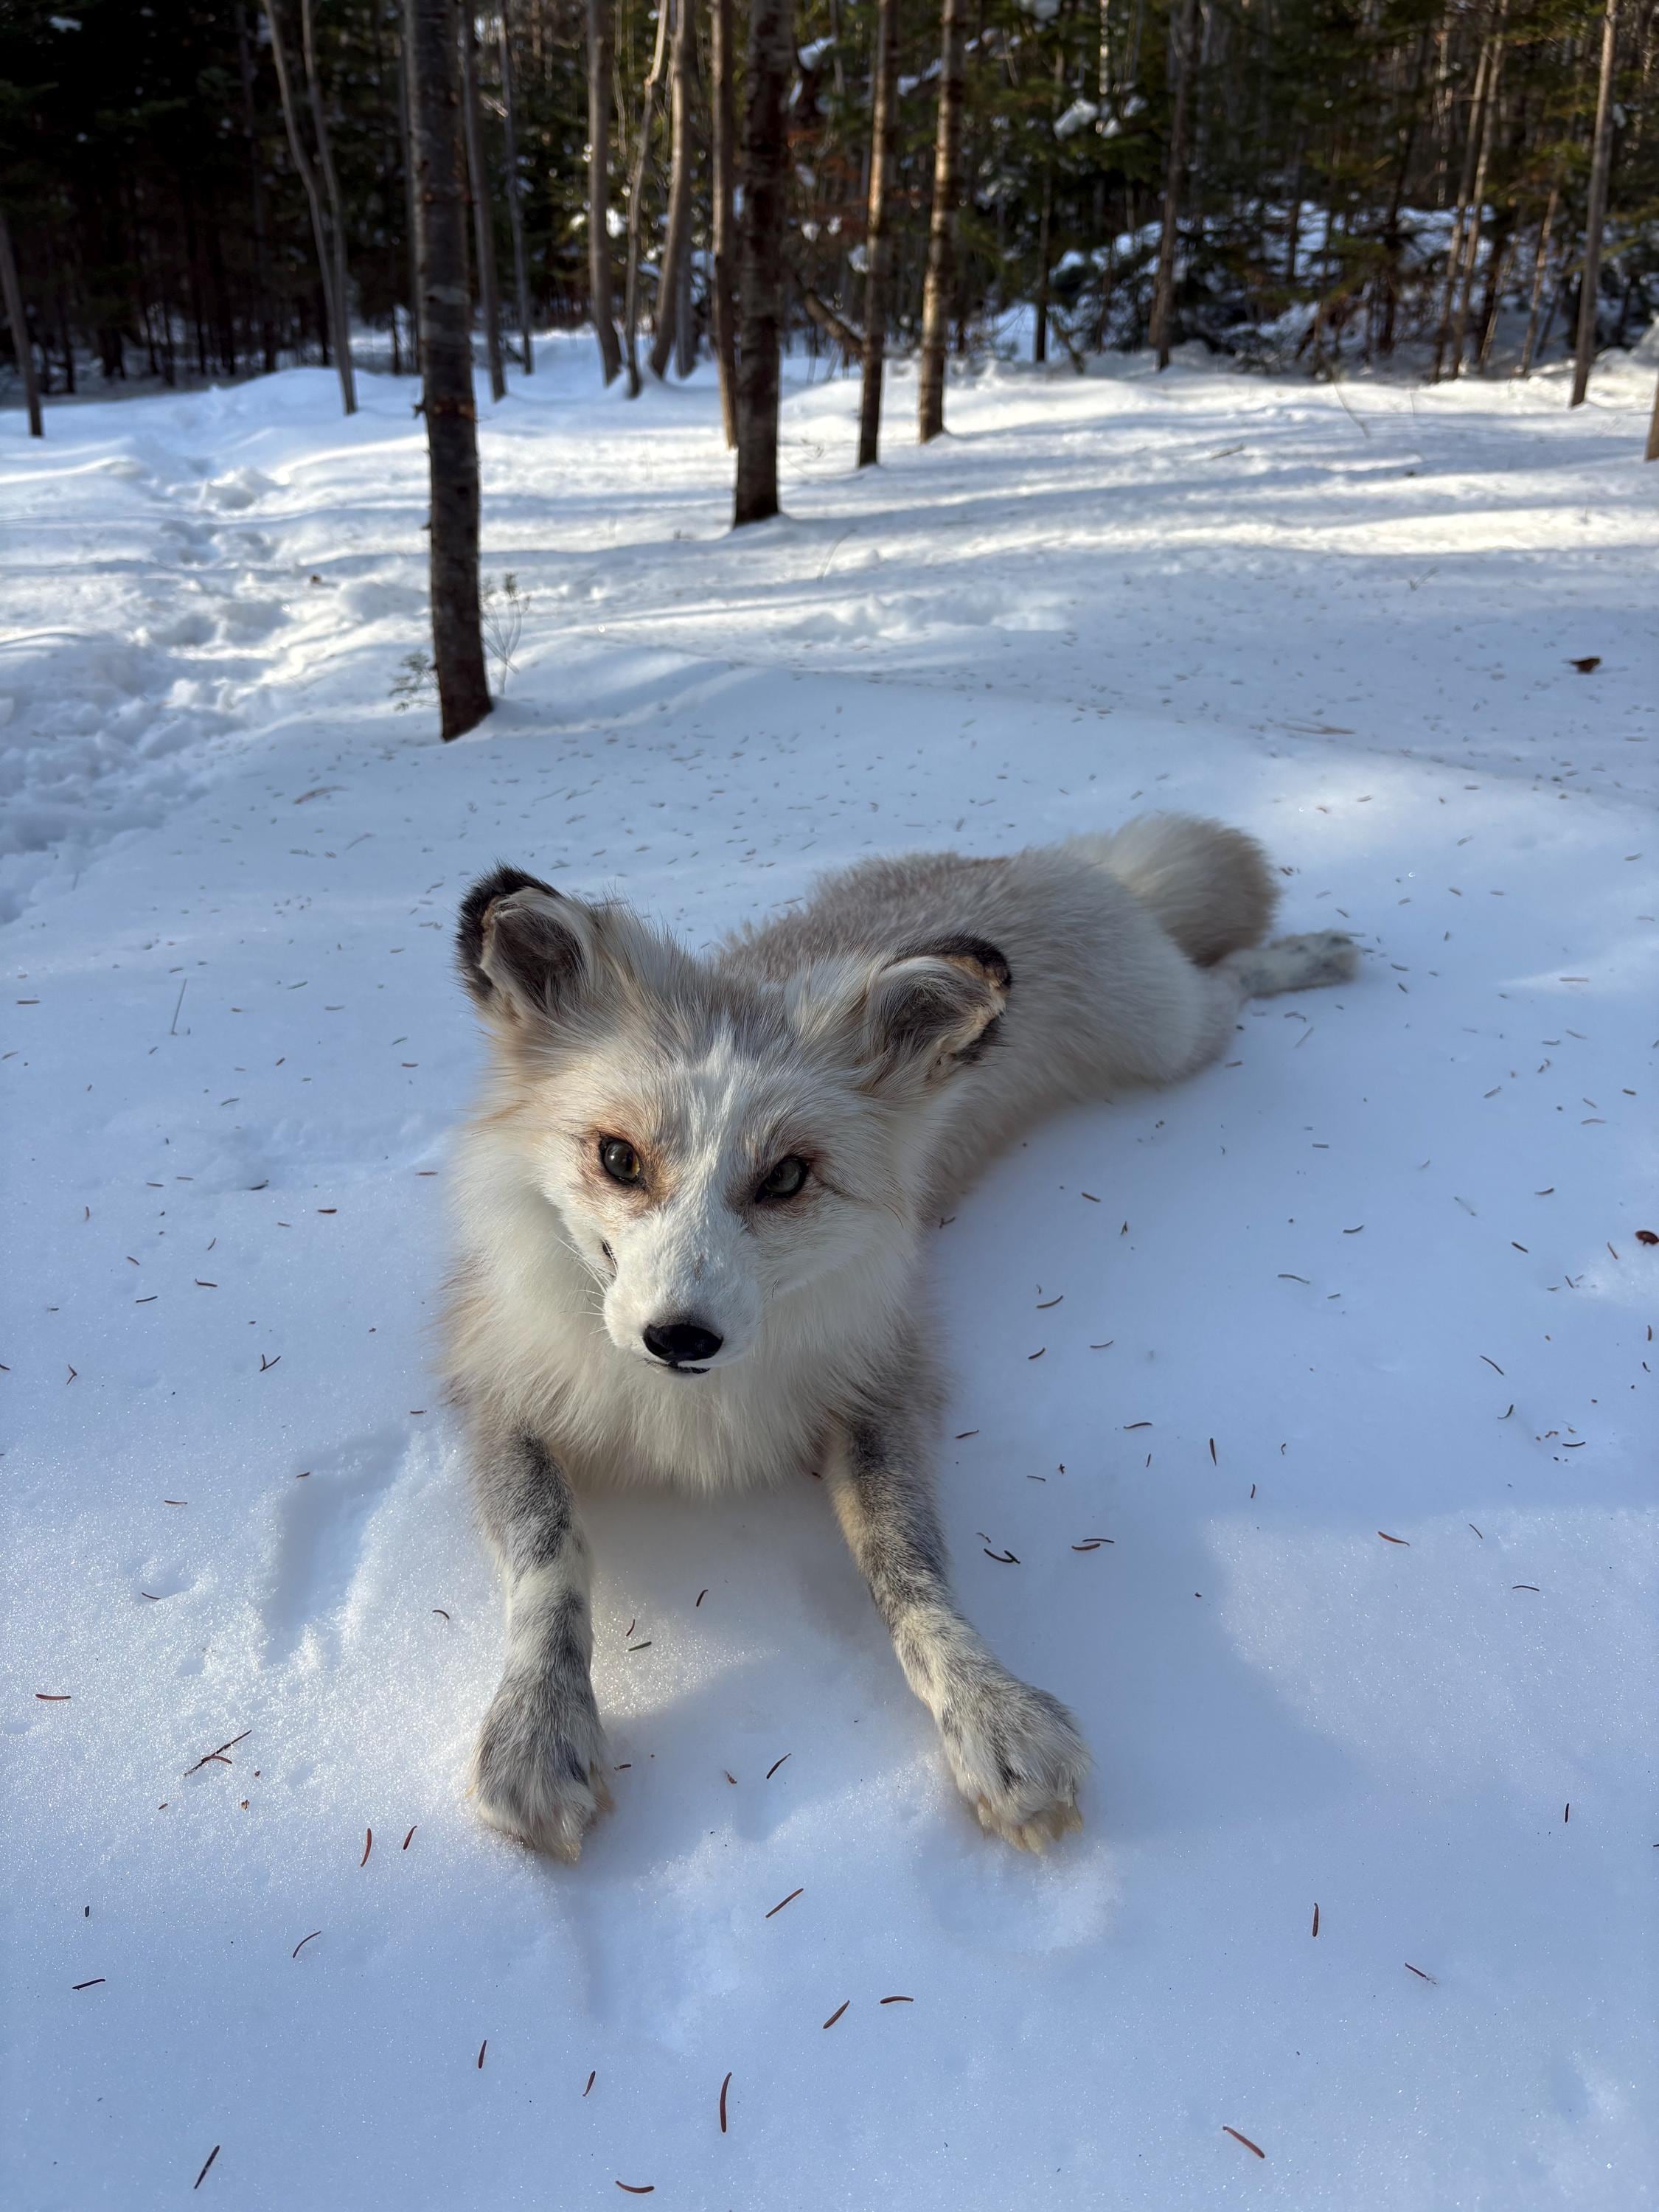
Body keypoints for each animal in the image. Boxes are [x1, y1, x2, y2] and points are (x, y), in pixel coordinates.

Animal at [441, 814, 1359, 1861]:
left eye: (788, 1177)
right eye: (618, 1159)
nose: (679, 1338)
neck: (693, 1410)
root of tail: (1031, 861)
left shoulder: (883, 1383)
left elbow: (909, 1573)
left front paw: (993, 1717)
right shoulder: (496, 1393)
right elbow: (550, 1568)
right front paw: (538, 1730)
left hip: (1169, 1036)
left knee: (1229, 981)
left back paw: (1313, 954)